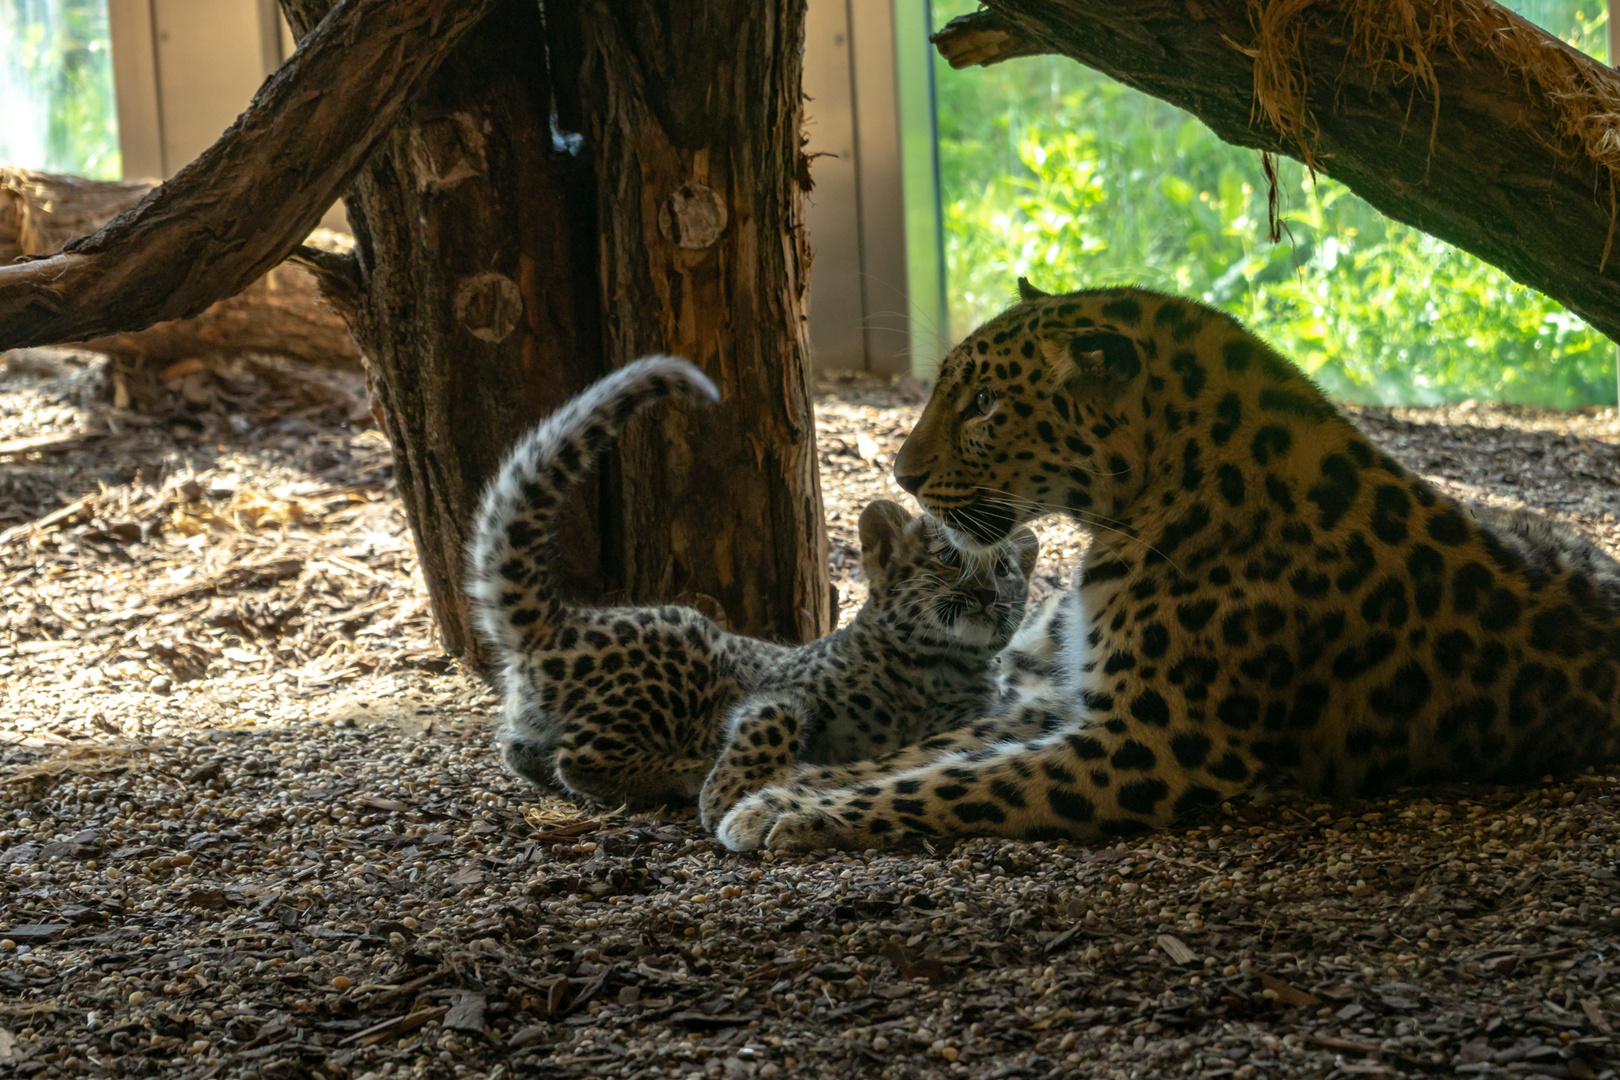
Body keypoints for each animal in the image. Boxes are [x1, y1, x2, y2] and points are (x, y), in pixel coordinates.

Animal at [719, 281, 1620, 854]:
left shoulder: (1146, 746)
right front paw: (785, 789)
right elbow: (930, 753)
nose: (903, 477)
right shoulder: (1068, 702)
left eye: (984, 405)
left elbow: (951, 783)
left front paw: (791, 813)